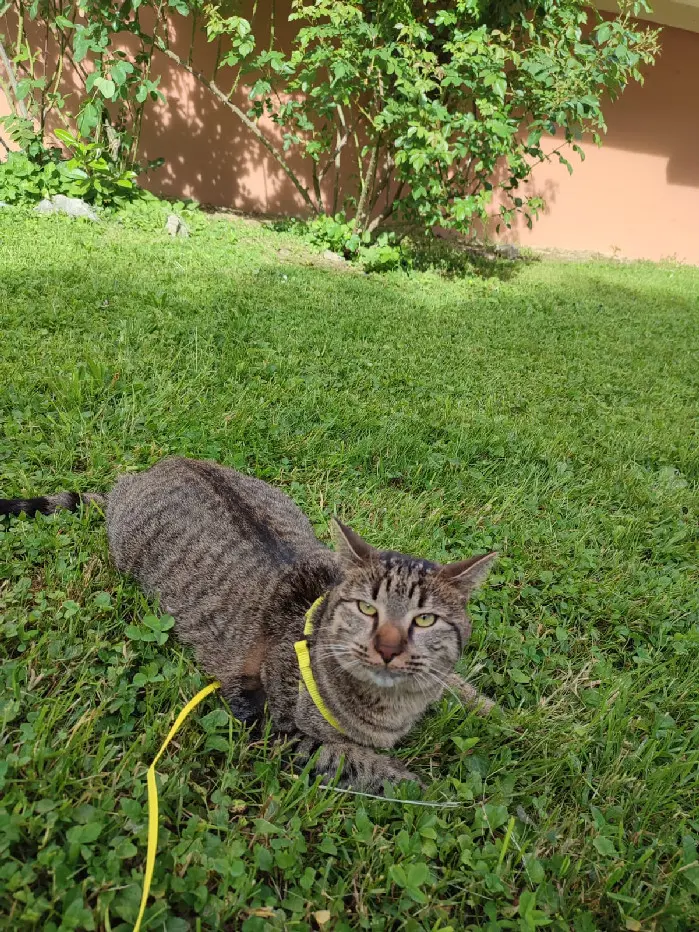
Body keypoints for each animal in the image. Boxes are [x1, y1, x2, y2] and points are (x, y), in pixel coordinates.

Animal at [4, 456, 498, 792]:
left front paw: (495, 712)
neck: (392, 709)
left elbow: (458, 685)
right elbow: (356, 760)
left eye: (425, 619)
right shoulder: (271, 728)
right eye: (366, 609)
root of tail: (137, 478)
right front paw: (429, 787)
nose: (389, 648)